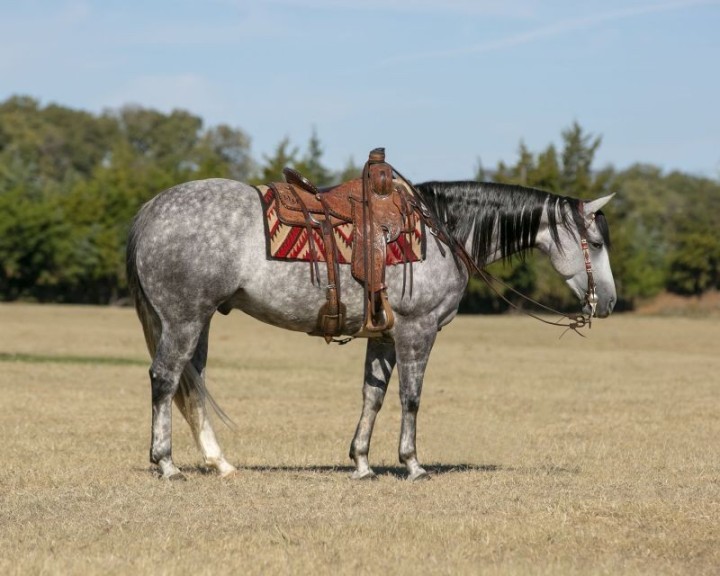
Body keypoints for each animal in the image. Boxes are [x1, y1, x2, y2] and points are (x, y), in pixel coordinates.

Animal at [126, 176, 616, 481]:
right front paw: (413, 464)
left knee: (192, 384)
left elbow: (373, 396)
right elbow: (410, 397)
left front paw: (361, 462)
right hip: (184, 319)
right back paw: (167, 464)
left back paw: (219, 462)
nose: (608, 302)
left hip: (199, 321)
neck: (441, 232)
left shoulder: (382, 337)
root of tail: (151, 209)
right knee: (165, 379)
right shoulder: (417, 331)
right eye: (594, 243)